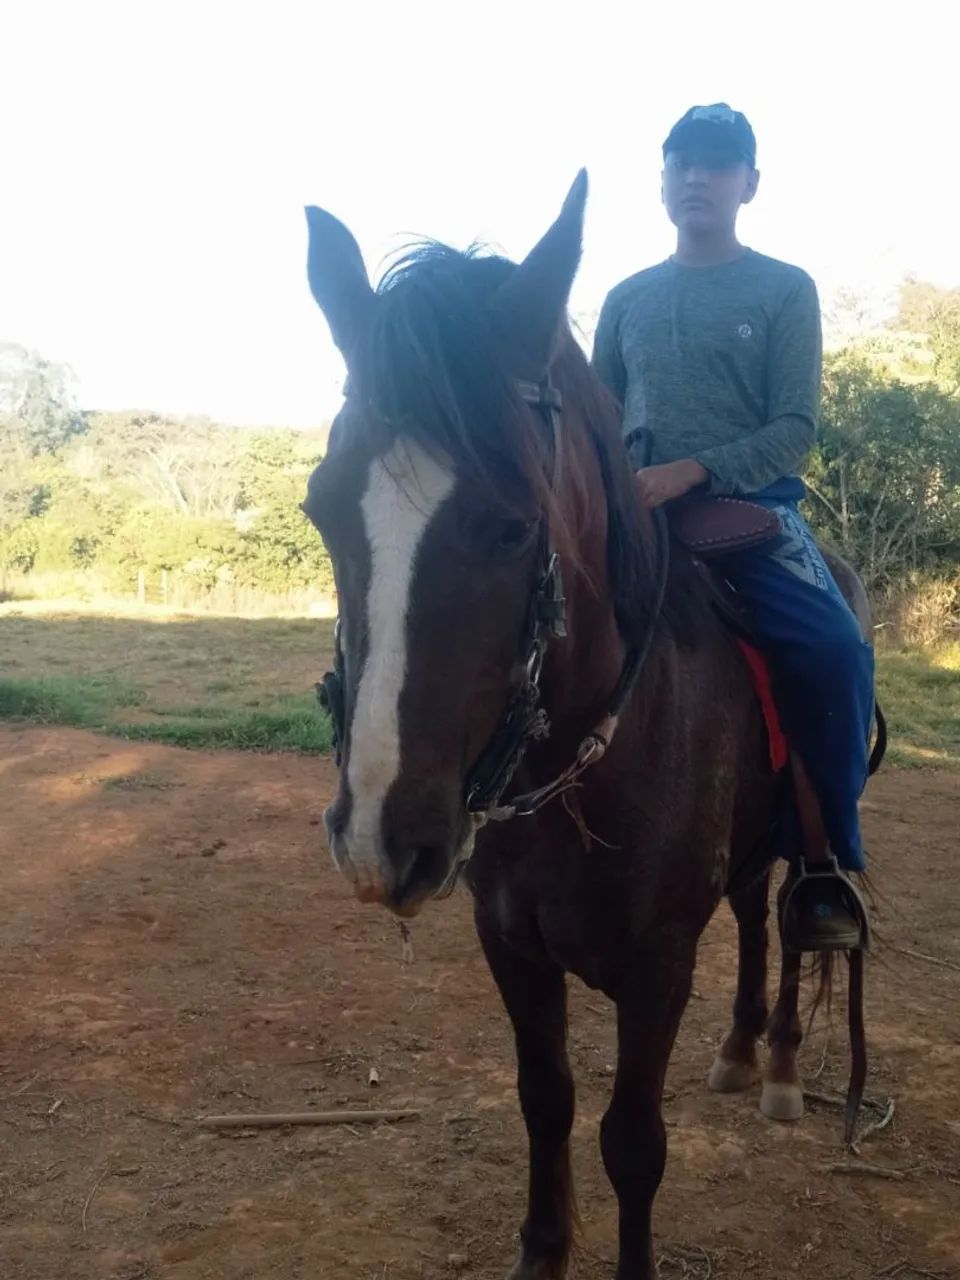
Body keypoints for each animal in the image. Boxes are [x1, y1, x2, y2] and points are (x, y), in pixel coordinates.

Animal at [301, 172, 873, 1280]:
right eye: (321, 508)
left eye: (514, 525)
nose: (380, 840)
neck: (585, 766)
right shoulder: (512, 949)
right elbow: (546, 1102)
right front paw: (541, 1251)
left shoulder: (656, 970)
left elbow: (632, 1142)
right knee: (751, 913)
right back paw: (739, 1049)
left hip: (804, 831)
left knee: (791, 922)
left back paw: (781, 1060)